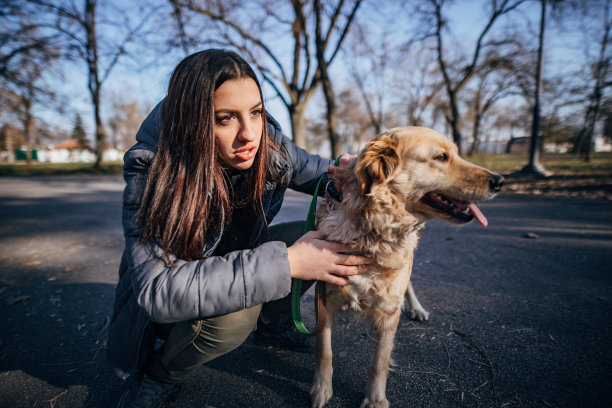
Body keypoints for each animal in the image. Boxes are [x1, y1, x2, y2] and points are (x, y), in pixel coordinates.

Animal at [310, 126, 502, 406]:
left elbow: (379, 362)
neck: (372, 232)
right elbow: (324, 351)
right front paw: (321, 389)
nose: (500, 181)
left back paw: (417, 308)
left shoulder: (390, 312)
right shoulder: (324, 298)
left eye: (456, 153)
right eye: (442, 157)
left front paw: (375, 400)